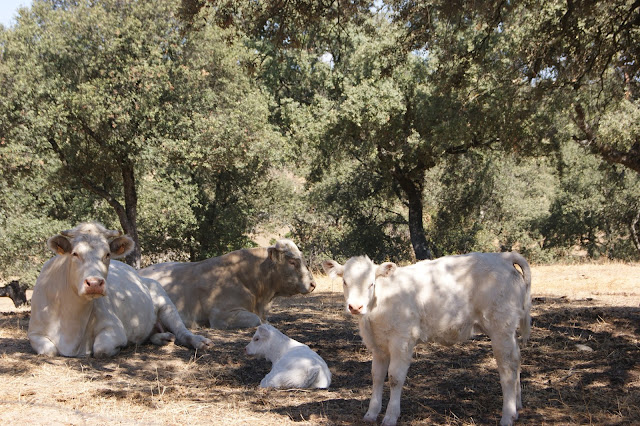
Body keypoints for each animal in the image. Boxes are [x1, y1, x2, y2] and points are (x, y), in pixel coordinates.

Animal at [28, 221, 212, 358]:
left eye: (107, 254)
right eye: (75, 254)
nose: (94, 283)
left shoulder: (114, 328)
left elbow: (101, 349)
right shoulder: (35, 332)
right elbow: (49, 350)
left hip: (165, 302)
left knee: (182, 331)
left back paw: (200, 341)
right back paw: (164, 337)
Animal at [322, 253, 532, 426]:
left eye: (371, 283)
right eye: (345, 282)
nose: (355, 307)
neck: (378, 307)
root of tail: (503, 257)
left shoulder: (402, 341)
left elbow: (395, 378)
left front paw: (390, 416)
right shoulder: (378, 345)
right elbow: (377, 377)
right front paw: (371, 413)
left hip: (500, 328)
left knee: (507, 370)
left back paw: (507, 416)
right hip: (509, 331)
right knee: (517, 360)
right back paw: (517, 407)